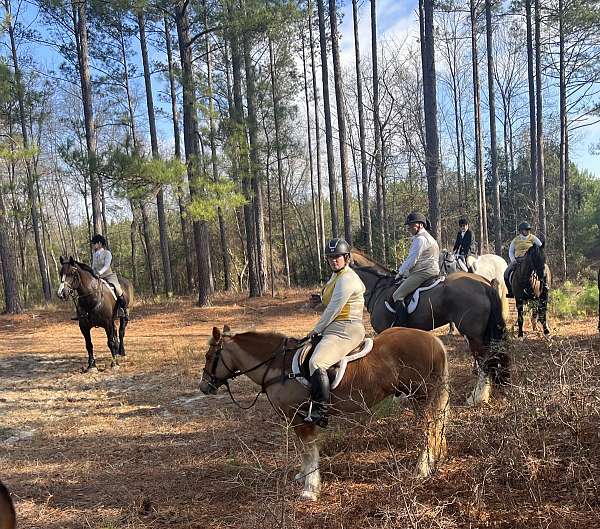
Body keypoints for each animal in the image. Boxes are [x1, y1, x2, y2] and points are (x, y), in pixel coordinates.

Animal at [199, 324, 448, 502]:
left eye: (209, 357)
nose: (203, 387)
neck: (280, 367)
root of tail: (434, 340)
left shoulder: (302, 419)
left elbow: (309, 451)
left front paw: (310, 489)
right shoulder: (296, 419)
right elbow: (304, 451)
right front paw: (302, 477)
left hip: (420, 398)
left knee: (427, 431)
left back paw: (421, 469)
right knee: (434, 429)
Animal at [350, 248, 508, 404]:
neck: (380, 289)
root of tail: (483, 284)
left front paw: (398, 396)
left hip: (473, 335)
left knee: (484, 363)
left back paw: (476, 397)